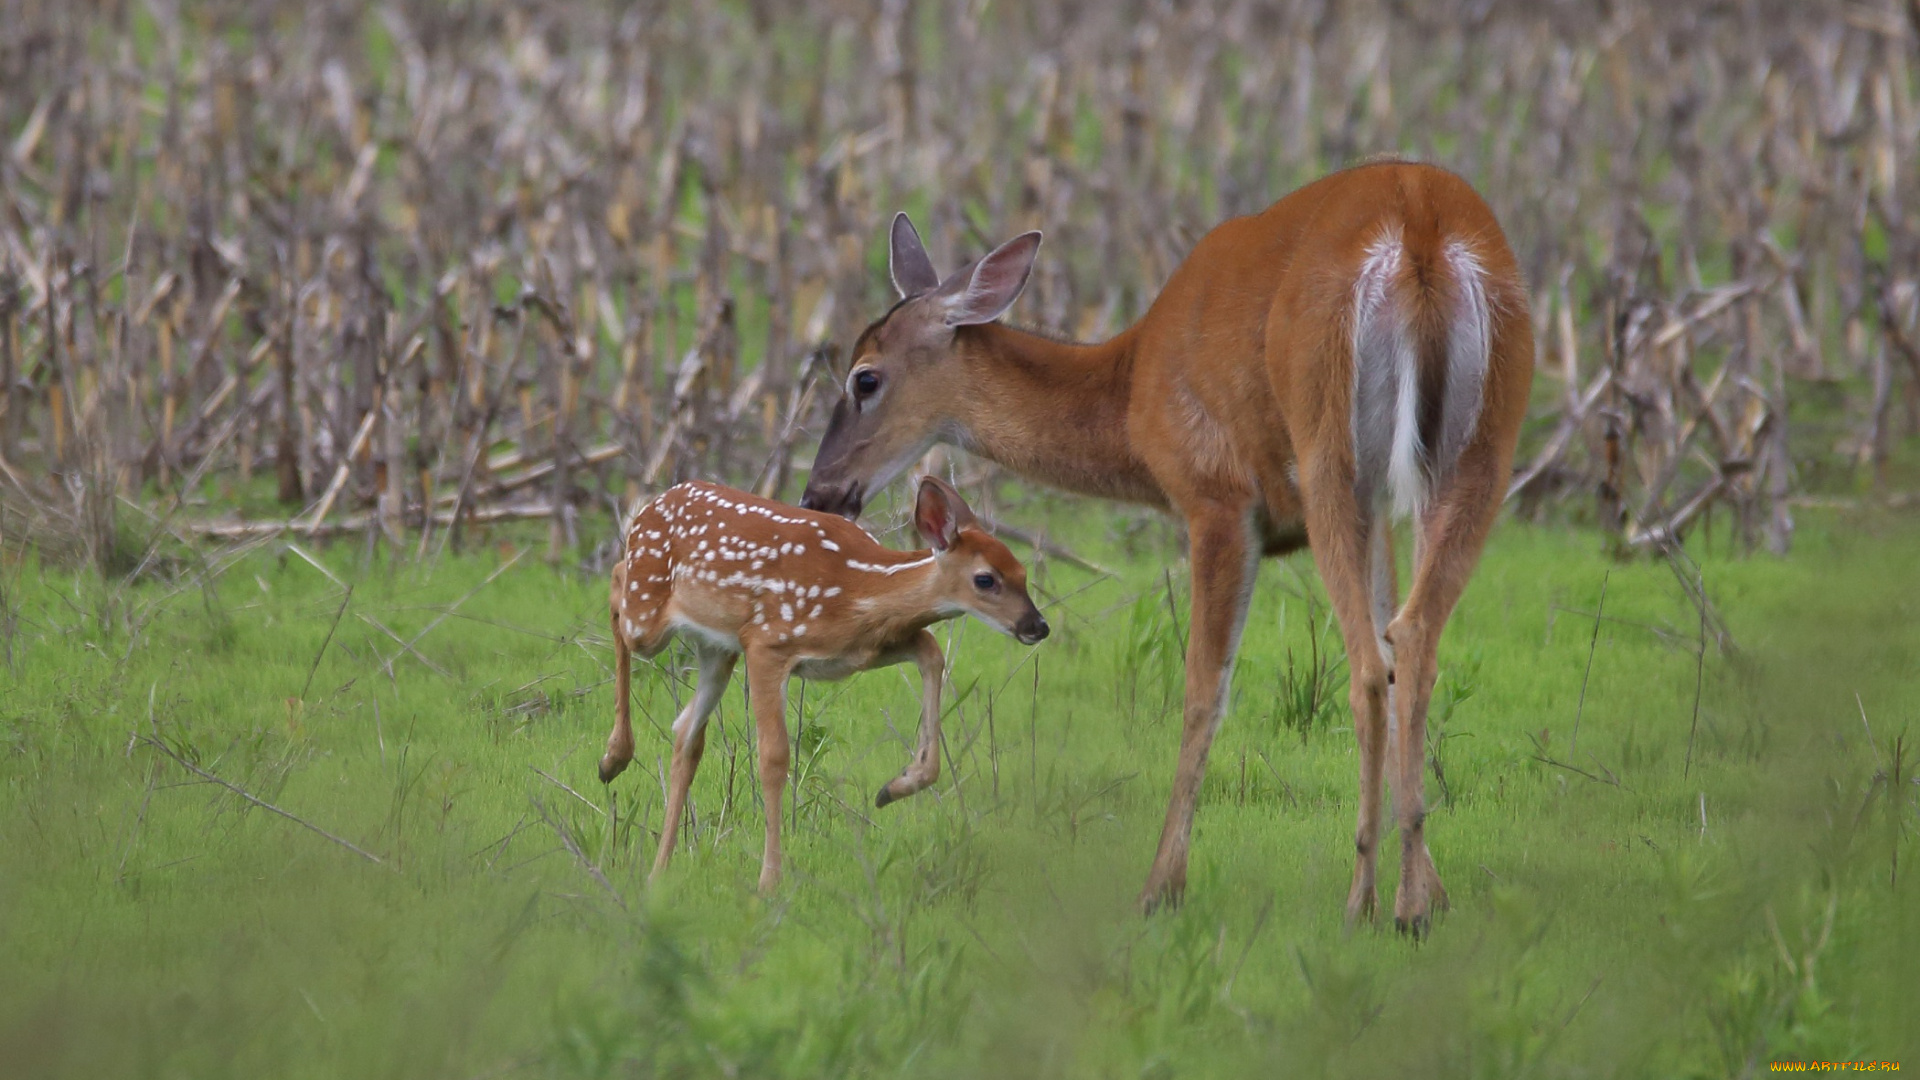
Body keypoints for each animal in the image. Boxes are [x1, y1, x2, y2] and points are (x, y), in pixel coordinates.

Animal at [602, 474, 1044, 887]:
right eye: (985, 579)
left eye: (1023, 572)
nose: (1037, 626)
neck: (855, 589)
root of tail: (654, 503)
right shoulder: (767, 643)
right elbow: (774, 758)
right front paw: (769, 881)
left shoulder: (866, 649)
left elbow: (933, 655)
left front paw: (896, 787)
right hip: (649, 617)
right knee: (617, 582)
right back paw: (613, 759)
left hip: (717, 648)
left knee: (685, 732)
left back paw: (658, 869)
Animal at [802, 159, 1536, 926]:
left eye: (865, 378)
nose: (821, 491)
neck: (1130, 398)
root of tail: (1419, 229)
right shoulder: (1384, 507)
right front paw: (1433, 889)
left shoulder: (1216, 495)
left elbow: (1203, 687)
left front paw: (1162, 885)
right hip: (1481, 446)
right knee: (1411, 640)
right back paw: (1410, 905)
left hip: (1328, 444)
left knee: (1367, 667)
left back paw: (1360, 899)